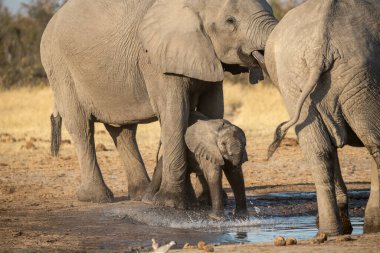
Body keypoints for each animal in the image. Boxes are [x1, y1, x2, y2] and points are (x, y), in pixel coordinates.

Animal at [40, 0, 276, 208]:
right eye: (230, 21)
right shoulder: (155, 60)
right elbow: (175, 114)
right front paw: (172, 203)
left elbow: (212, 110)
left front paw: (206, 201)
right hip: (59, 67)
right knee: (81, 127)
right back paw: (96, 198)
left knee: (123, 131)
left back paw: (141, 194)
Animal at [260, 0, 380, 235]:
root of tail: (319, 49)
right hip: (363, 79)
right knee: (375, 144)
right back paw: (368, 227)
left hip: (293, 81)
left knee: (317, 151)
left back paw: (330, 230)